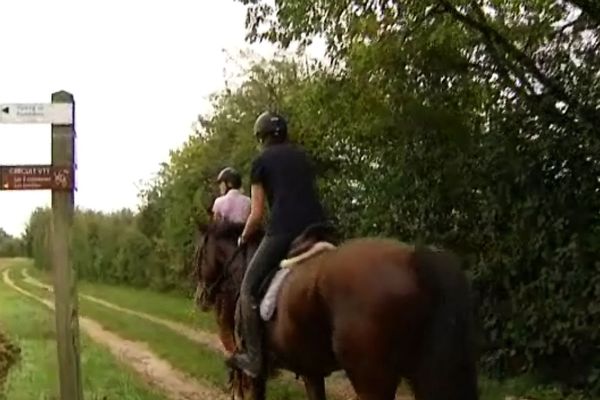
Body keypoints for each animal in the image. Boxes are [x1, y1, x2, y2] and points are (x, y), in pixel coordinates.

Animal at [195, 219, 480, 400]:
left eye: (198, 254)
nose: (201, 298)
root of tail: (417, 259)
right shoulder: (311, 372)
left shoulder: (256, 374)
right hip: (420, 373)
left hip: (373, 381)